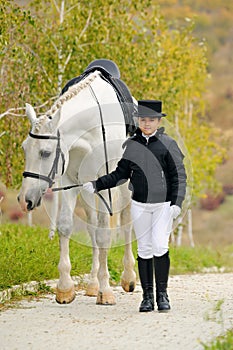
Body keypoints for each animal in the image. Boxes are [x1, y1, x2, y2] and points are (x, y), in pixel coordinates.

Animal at [19, 70, 137, 304]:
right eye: (24, 149)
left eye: (45, 153)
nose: (25, 198)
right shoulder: (69, 182)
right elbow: (66, 226)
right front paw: (65, 287)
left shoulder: (107, 183)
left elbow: (105, 234)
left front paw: (106, 291)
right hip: (87, 190)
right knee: (92, 227)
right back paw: (92, 284)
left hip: (123, 186)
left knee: (126, 223)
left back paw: (128, 277)